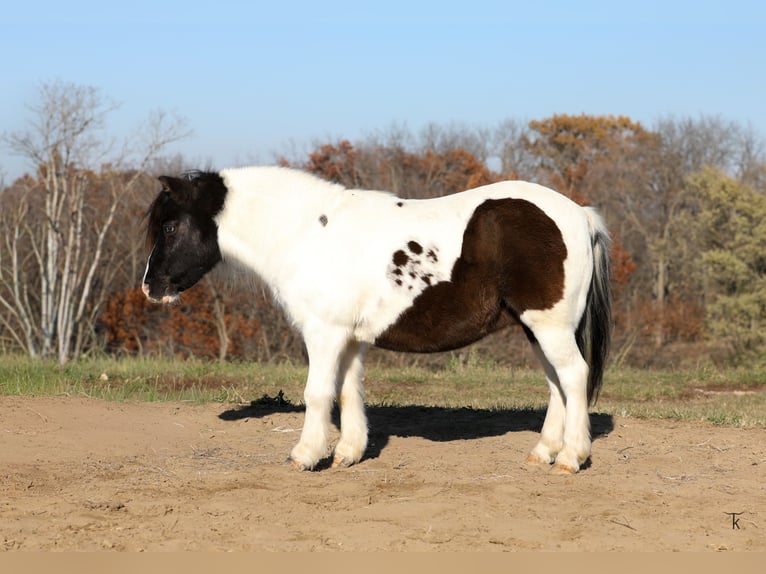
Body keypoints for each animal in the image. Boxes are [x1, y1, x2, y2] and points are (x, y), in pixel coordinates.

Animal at [142, 166, 611, 474]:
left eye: (169, 228)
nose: (150, 288)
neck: (308, 233)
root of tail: (580, 214)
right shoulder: (349, 339)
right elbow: (348, 391)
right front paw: (347, 453)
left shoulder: (324, 334)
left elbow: (317, 393)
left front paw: (305, 455)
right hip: (538, 328)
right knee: (557, 384)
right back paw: (544, 452)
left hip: (549, 326)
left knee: (573, 376)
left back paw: (571, 457)